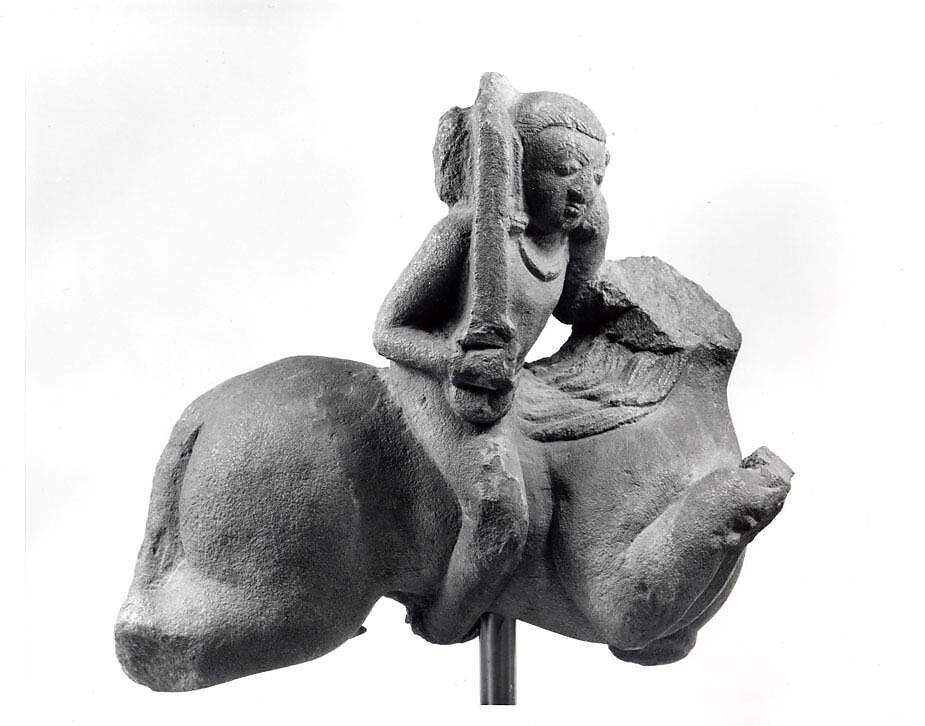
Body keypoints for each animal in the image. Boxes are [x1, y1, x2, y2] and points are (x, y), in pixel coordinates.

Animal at [113, 258, 796, 692]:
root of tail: (203, 414)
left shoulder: (651, 646)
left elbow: (661, 639)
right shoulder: (616, 601)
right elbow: (647, 583)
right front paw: (763, 480)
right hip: (286, 596)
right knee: (148, 639)